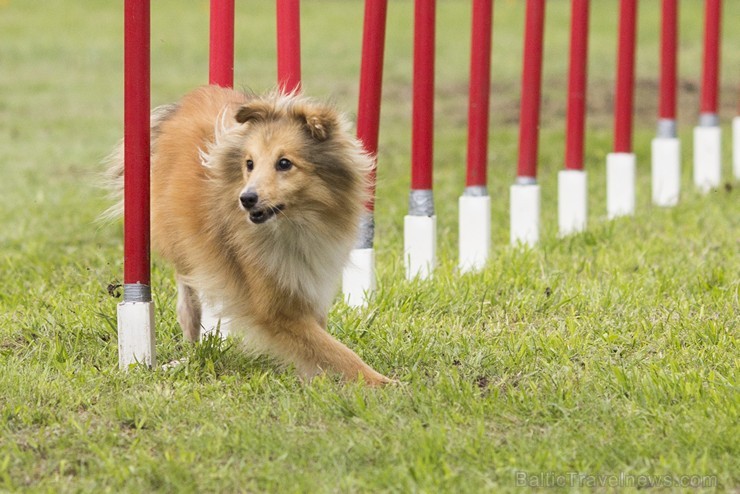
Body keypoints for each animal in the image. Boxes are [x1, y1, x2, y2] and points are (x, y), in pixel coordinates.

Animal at [107, 86, 394, 386]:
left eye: (284, 163)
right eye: (249, 164)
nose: (246, 198)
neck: (295, 224)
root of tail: (188, 101)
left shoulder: (308, 277)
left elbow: (321, 338)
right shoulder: (272, 306)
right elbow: (332, 349)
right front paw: (381, 381)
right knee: (186, 274)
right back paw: (190, 321)